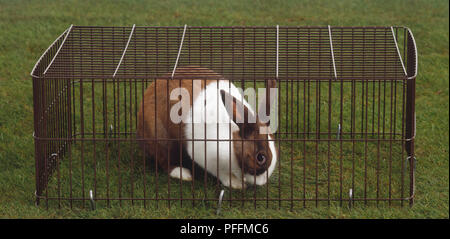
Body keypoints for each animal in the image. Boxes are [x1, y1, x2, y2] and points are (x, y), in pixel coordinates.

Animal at [136, 65, 278, 189]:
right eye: (261, 157)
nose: (262, 182)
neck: (232, 141)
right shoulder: (208, 158)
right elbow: (224, 175)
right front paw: (237, 184)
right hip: (160, 139)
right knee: (165, 161)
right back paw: (183, 174)